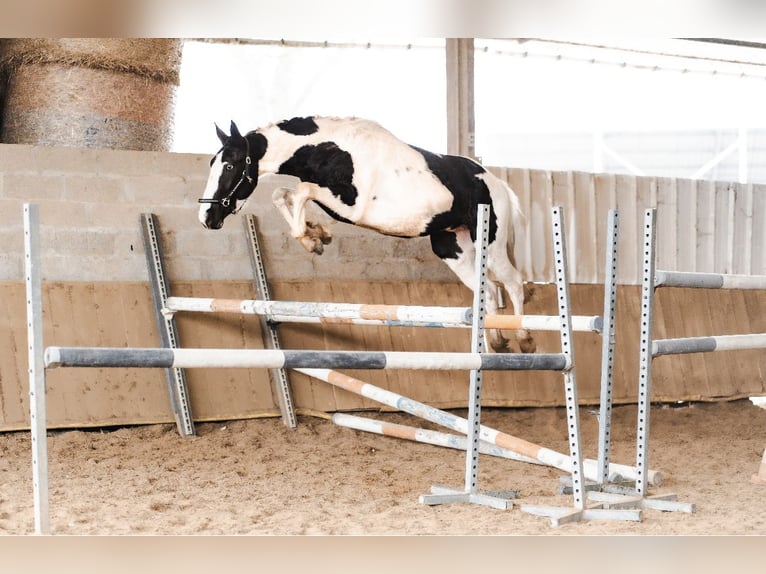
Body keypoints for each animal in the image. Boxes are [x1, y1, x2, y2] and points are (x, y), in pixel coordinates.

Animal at [198, 115, 536, 354]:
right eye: (213, 163)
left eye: (229, 166)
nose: (206, 218)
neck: (332, 149)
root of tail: (497, 182)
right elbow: (283, 194)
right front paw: (316, 235)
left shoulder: (352, 205)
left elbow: (301, 191)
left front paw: (313, 239)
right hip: (452, 247)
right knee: (488, 291)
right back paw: (495, 344)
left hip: (489, 243)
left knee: (512, 282)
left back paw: (524, 338)